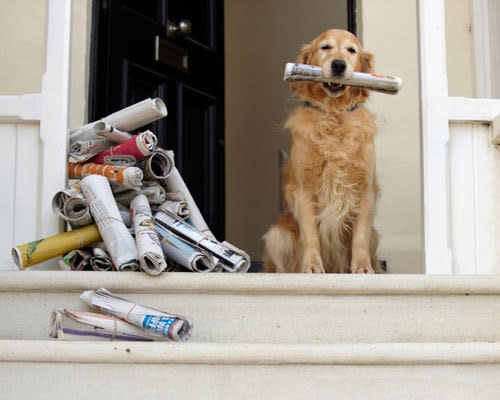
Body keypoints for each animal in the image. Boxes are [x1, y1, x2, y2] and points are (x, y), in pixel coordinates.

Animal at [262, 27, 382, 272]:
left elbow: (360, 237)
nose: (338, 65)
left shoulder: (365, 188)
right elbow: (311, 235)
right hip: (276, 235)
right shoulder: (304, 189)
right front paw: (311, 265)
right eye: (325, 47)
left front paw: (363, 268)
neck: (334, 114)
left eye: (351, 50)